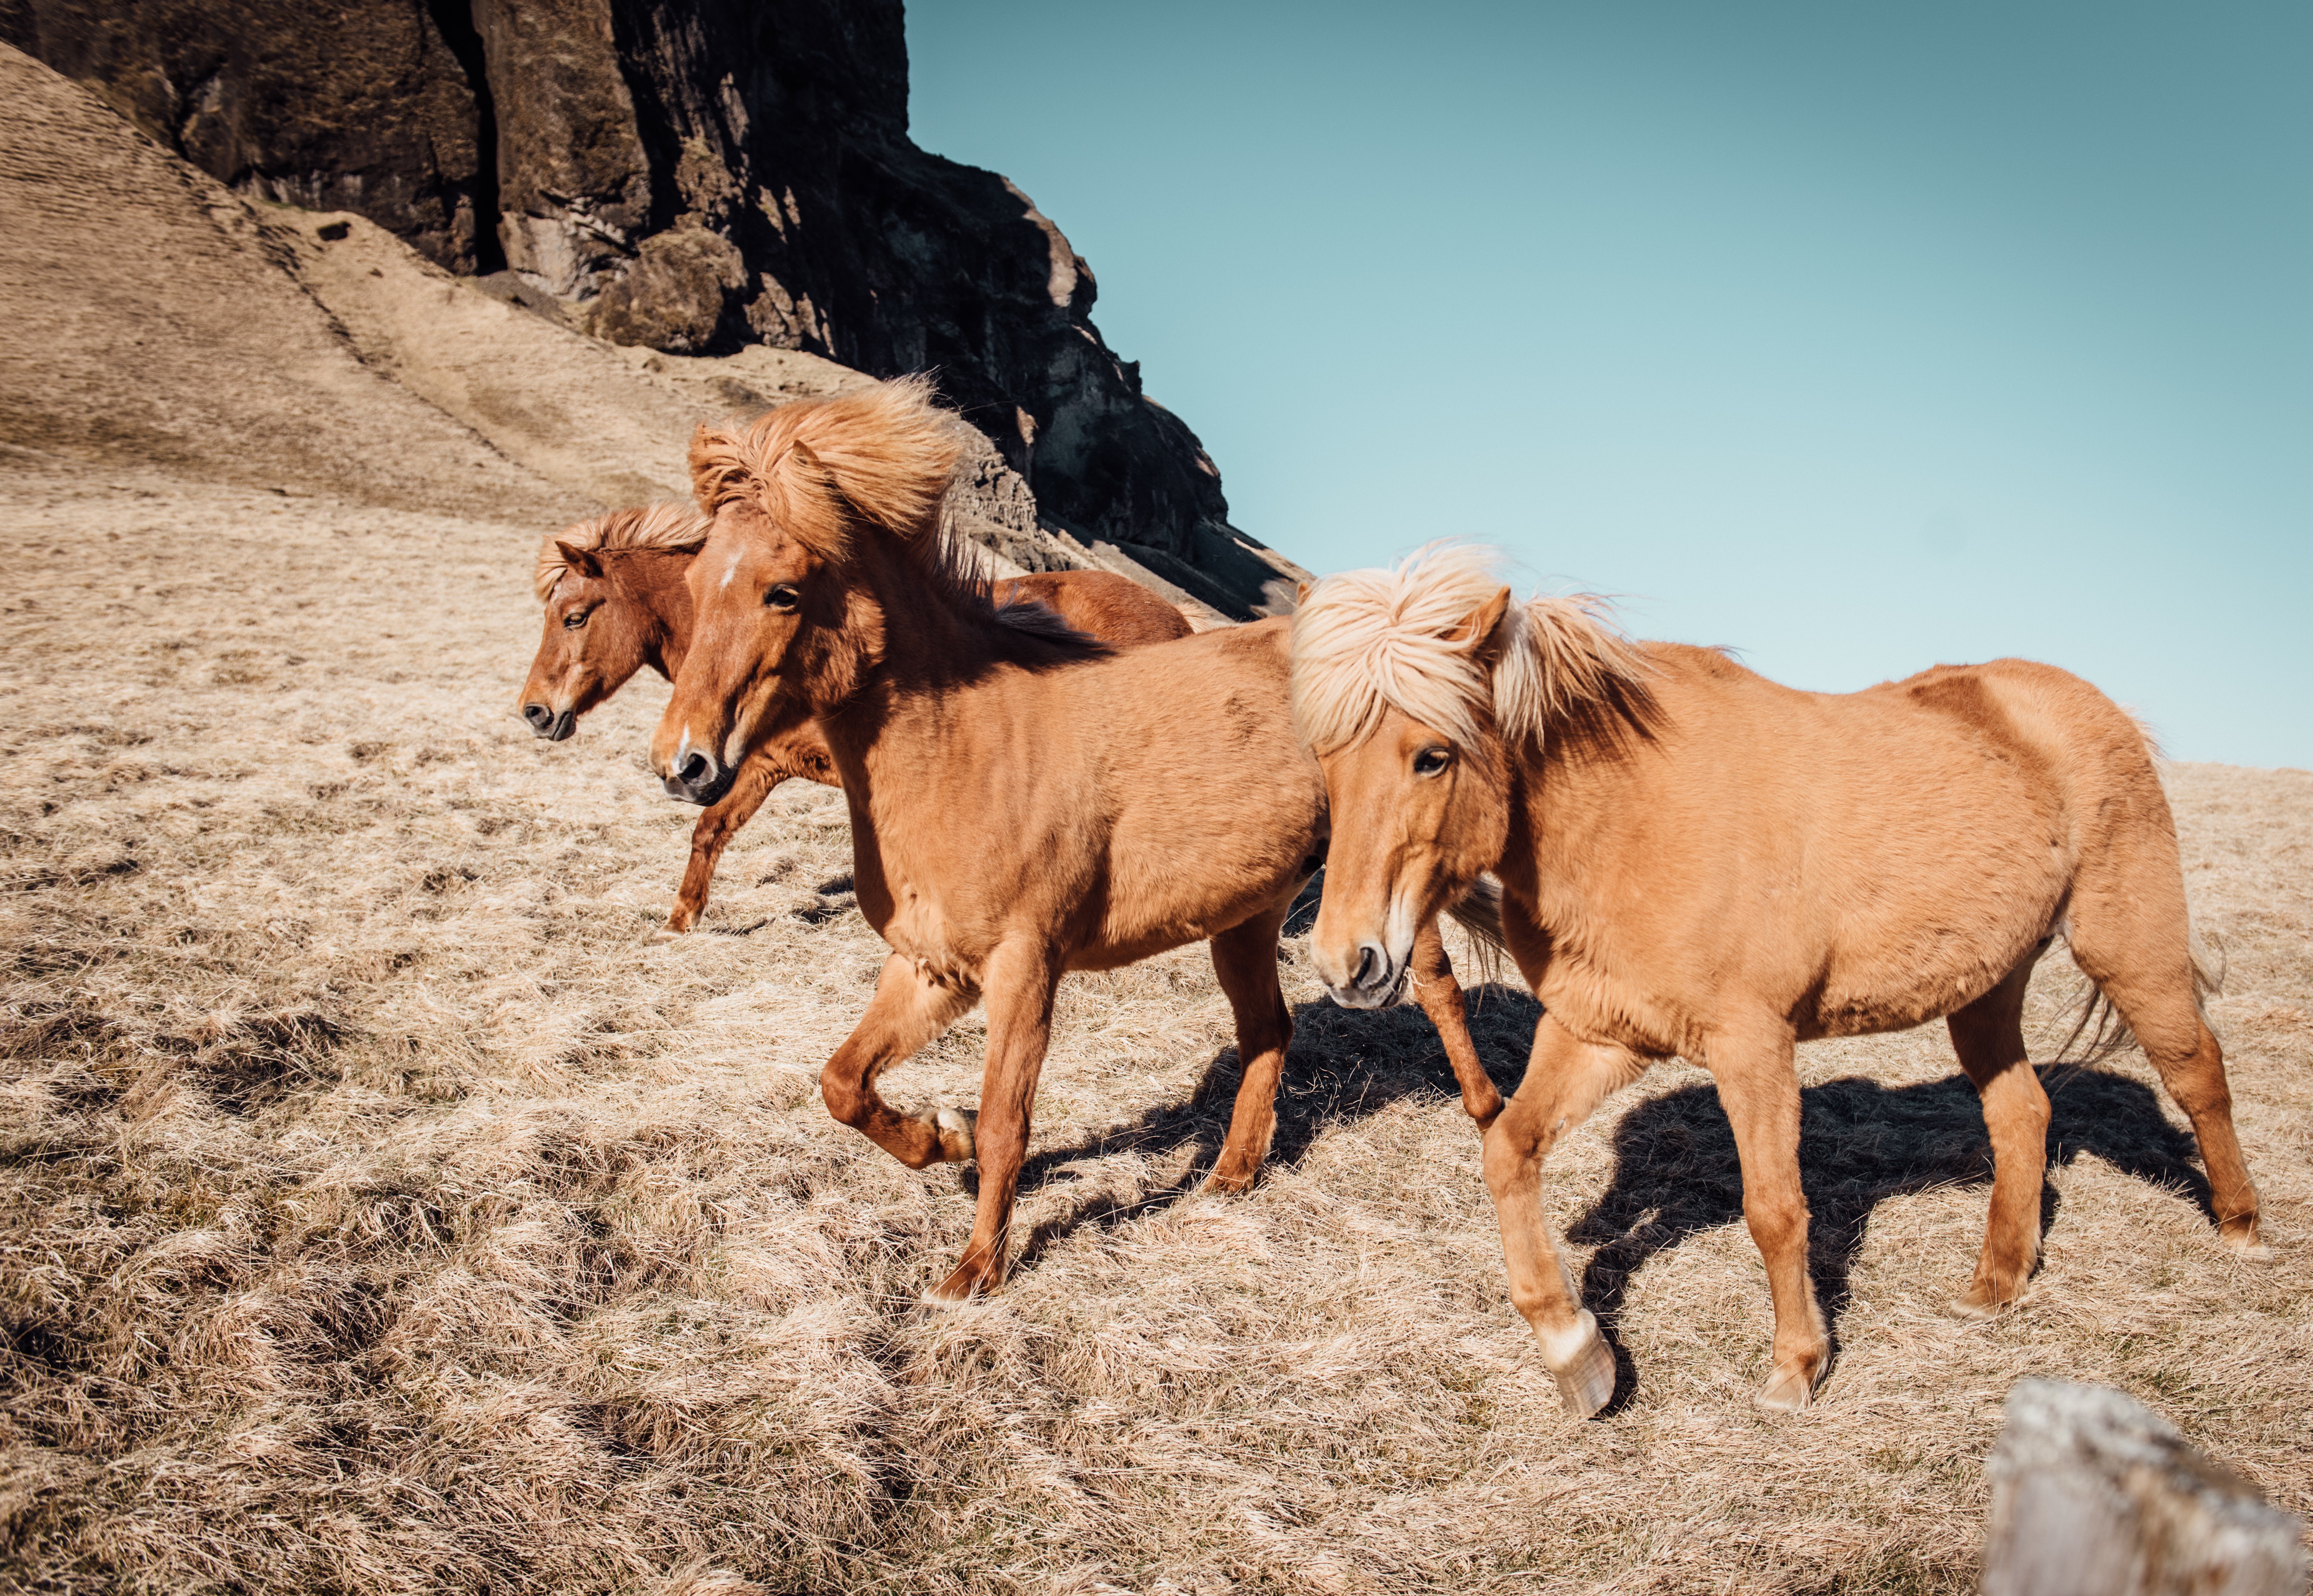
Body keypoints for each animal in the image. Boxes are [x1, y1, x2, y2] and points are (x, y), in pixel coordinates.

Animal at [520, 495, 1193, 920]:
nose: (534, 712)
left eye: (574, 616)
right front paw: (680, 922)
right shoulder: (761, 767)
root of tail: (1174, 617)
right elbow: (711, 831)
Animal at [1295, 543, 2267, 1406]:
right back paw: (1995, 1283)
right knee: (2021, 1110)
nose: (1350, 962)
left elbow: (1774, 1207)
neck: (1633, 815)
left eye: (1432, 755)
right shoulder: (1599, 1032)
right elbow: (1507, 1149)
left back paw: (2242, 1230)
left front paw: (1796, 1366)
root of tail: (2092, 704)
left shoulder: (1752, 1044)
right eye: (1325, 759)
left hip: (2128, 944)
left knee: (2197, 1071)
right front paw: (1577, 1352)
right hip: (1985, 988)